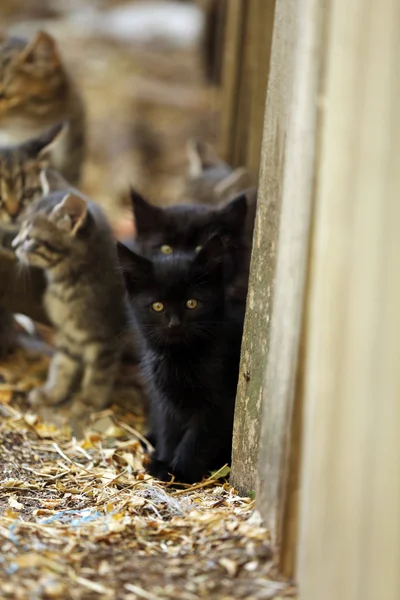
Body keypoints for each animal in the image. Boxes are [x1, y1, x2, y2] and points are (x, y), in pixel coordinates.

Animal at [12, 169, 129, 432]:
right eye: (19, 231)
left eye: (29, 238)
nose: (14, 245)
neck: (66, 286)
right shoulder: (69, 335)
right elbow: (61, 365)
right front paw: (51, 393)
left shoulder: (106, 339)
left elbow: (97, 377)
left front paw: (87, 404)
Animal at [118, 234, 244, 482]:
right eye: (158, 306)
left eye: (192, 303)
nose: (174, 323)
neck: (181, 357)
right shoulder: (166, 399)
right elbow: (169, 431)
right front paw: (163, 460)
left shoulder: (219, 403)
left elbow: (197, 440)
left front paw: (177, 472)